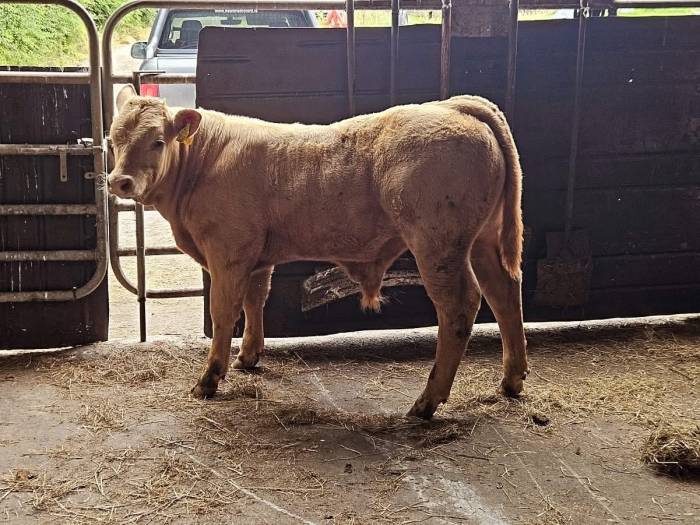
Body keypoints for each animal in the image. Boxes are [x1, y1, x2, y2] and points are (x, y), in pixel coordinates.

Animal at [107, 85, 528, 420]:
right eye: (113, 140)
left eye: (158, 141)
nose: (119, 181)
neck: (205, 161)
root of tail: (453, 106)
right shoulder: (257, 257)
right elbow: (255, 301)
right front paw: (248, 356)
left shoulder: (228, 254)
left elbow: (224, 312)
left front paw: (209, 378)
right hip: (482, 242)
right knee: (504, 294)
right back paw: (511, 380)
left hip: (438, 246)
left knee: (459, 307)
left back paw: (427, 402)